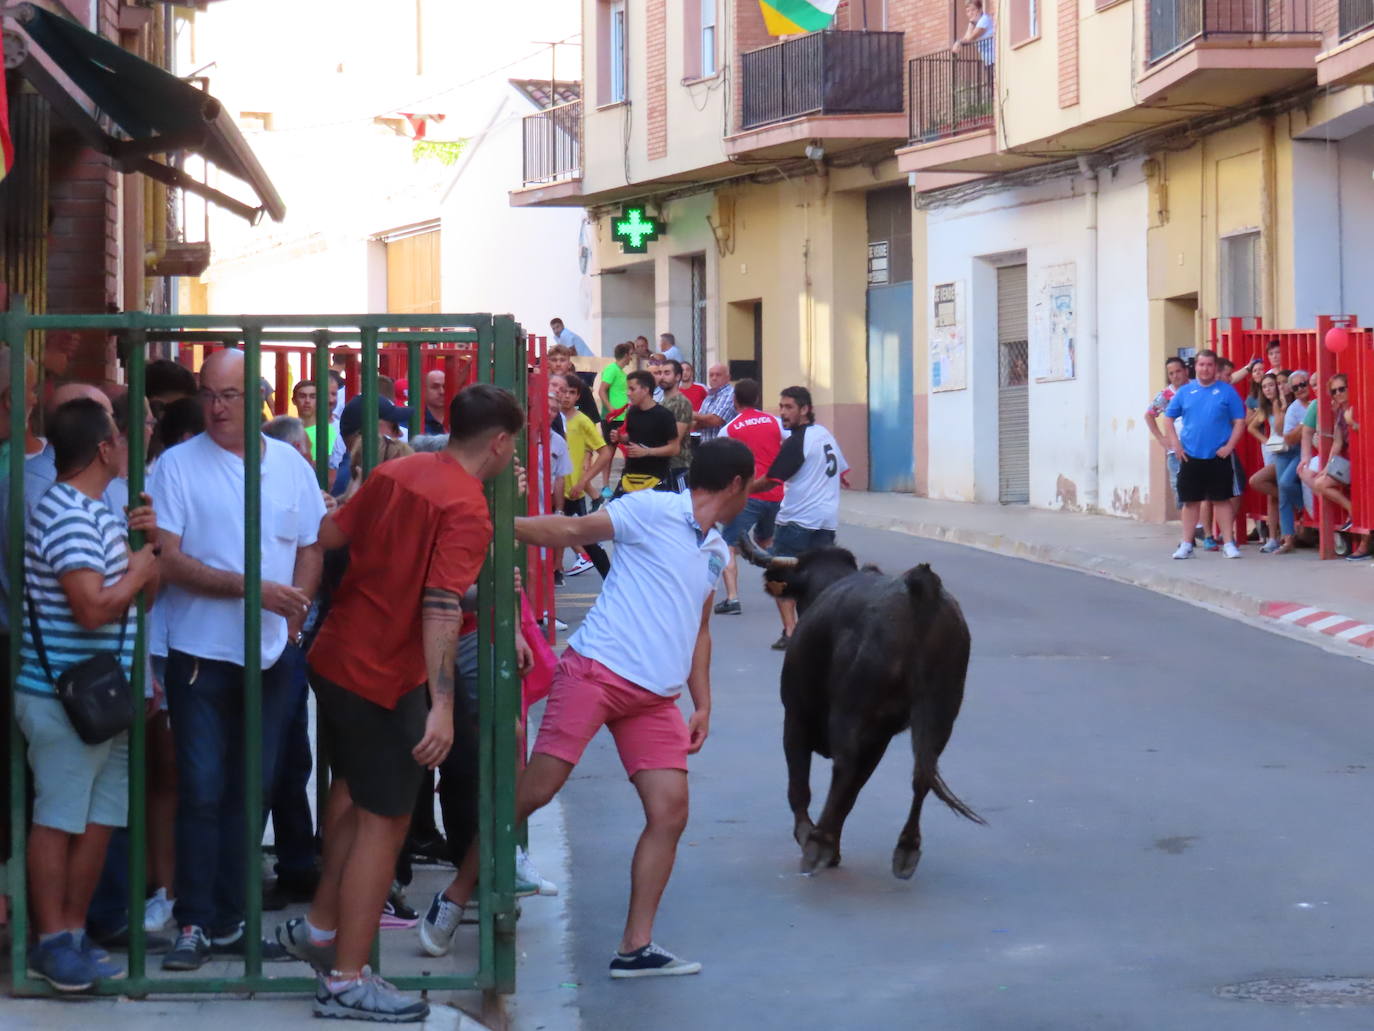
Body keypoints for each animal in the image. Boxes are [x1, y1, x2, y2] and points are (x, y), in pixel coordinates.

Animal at [741, 536, 989, 885]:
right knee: (920, 776)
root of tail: (920, 589)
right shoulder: (880, 737)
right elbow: (851, 794)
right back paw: (906, 850)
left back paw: (816, 845)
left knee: (844, 768)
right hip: (940, 711)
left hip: (851, 711)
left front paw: (812, 836)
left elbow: (801, 787)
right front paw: (833, 845)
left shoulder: (796, 715)